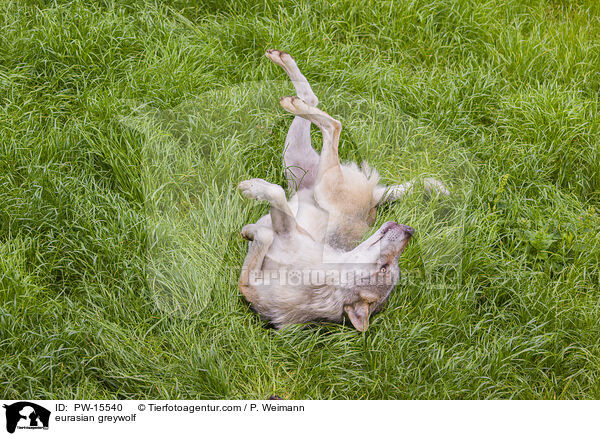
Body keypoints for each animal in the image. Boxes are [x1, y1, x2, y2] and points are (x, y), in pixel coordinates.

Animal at [237, 50, 448, 330]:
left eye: (387, 267)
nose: (409, 231)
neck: (325, 278)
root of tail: (374, 200)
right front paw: (250, 227)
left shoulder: (252, 279)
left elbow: (273, 201)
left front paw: (252, 190)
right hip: (297, 160)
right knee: (317, 106)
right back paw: (284, 70)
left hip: (321, 183)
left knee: (332, 125)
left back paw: (291, 99)